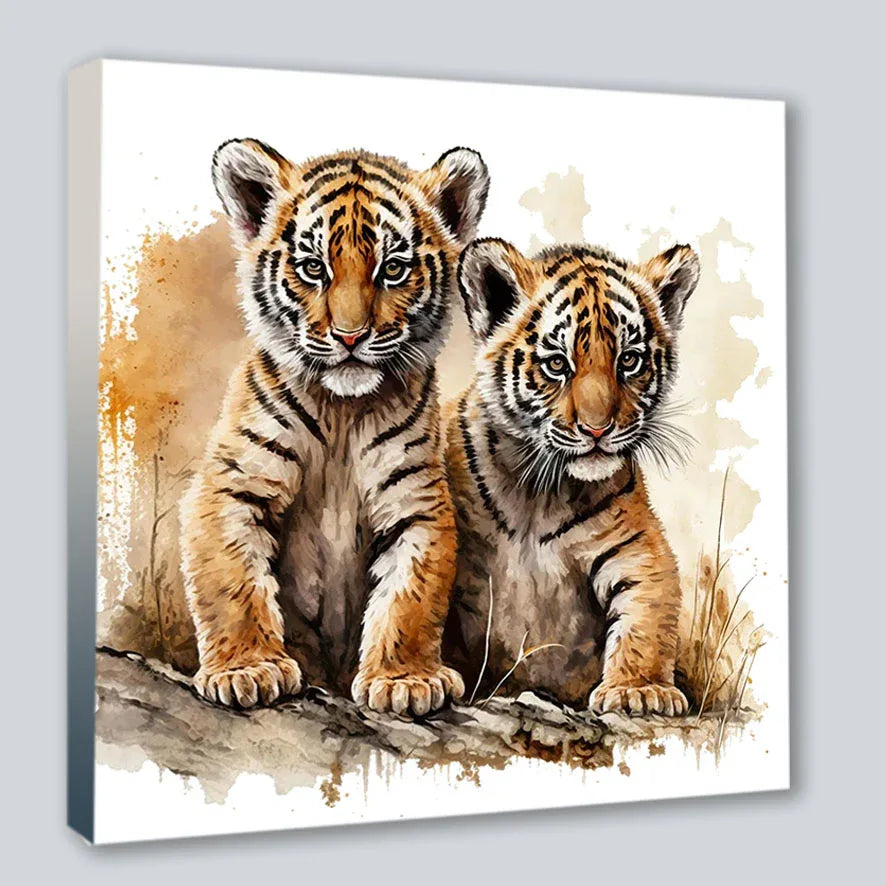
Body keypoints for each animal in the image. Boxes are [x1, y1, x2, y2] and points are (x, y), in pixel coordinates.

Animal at [179, 139, 489, 714]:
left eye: (393, 268)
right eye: (312, 267)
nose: (349, 336)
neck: (342, 412)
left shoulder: (416, 500)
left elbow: (411, 596)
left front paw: (406, 680)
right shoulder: (232, 484)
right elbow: (231, 583)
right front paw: (246, 670)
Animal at [444, 237, 700, 715]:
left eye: (629, 361)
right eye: (557, 364)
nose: (598, 429)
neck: (536, 495)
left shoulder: (638, 550)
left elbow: (646, 622)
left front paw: (640, 690)